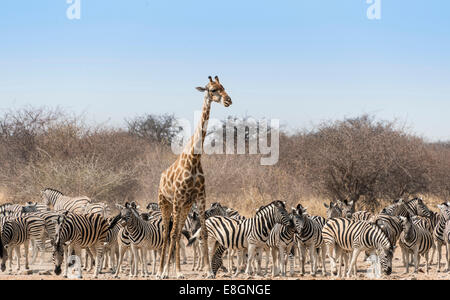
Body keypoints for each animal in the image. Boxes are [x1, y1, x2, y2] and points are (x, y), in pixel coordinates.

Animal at [157, 76, 232, 278]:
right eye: (212, 90)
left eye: (224, 87)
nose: (228, 100)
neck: (194, 158)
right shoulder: (177, 198)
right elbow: (173, 234)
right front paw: (167, 272)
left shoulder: (200, 196)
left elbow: (204, 233)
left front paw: (208, 271)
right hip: (165, 203)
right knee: (168, 234)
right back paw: (161, 271)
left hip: (184, 206)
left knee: (177, 233)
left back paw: (177, 270)